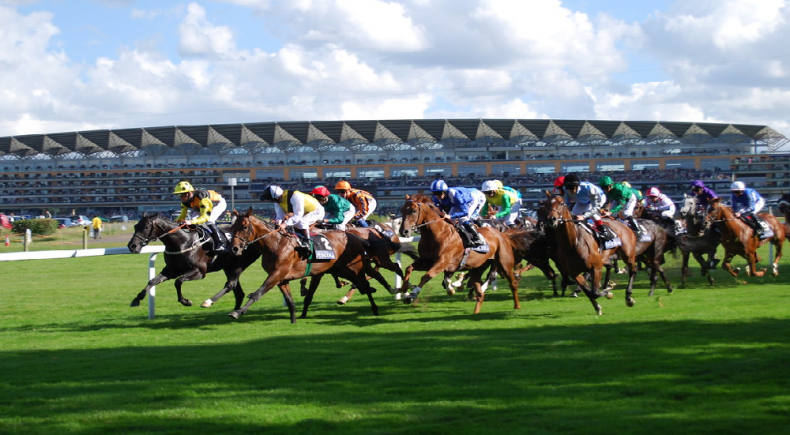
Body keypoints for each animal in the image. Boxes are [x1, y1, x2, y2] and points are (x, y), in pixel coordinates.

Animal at [125, 213, 258, 312]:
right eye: (136, 226)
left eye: (146, 227)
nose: (132, 246)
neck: (183, 242)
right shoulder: (171, 270)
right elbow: (152, 281)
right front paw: (137, 299)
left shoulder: (199, 271)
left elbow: (178, 281)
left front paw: (185, 301)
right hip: (228, 267)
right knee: (238, 292)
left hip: (239, 265)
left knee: (231, 285)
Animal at [227, 208, 378, 324]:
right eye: (232, 227)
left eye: (244, 227)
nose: (234, 248)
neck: (276, 243)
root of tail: (352, 235)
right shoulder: (282, 279)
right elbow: (290, 301)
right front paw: (293, 321)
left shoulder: (277, 274)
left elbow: (258, 293)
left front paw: (238, 312)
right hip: (340, 269)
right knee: (359, 284)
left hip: (355, 268)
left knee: (364, 284)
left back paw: (374, 308)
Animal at [396, 196, 524, 316]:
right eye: (402, 210)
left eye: (413, 211)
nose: (404, 231)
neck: (437, 234)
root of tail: (503, 233)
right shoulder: (426, 261)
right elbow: (409, 268)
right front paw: (404, 291)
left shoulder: (442, 262)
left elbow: (426, 276)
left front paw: (413, 293)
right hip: (479, 266)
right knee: (479, 285)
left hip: (502, 262)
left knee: (497, 278)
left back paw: (516, 305)